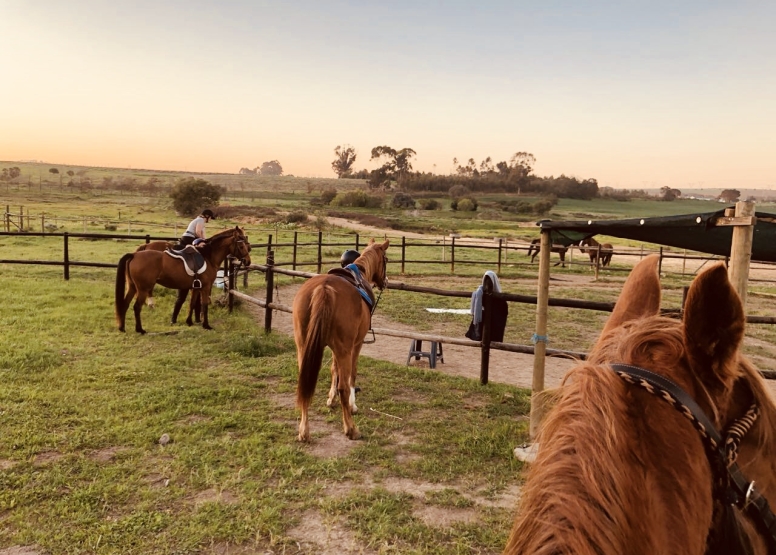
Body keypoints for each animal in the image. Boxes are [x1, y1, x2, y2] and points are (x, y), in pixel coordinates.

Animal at [114, 227, 252, 334]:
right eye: (241, 245)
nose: (248, 261)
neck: (207, 256)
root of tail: (134, 255)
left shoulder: (195, 287)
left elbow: (192, 303)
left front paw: (189, 322)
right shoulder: (205, 287)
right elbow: (204, 304)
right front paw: (206, 325)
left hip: (132, 287)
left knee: (125, 304)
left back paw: (122, 328)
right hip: (143, 289)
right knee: (137, 307)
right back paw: (140, 329)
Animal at [292, 239, 388, 444]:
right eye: (386, 259)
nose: (385, 281)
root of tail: (324, 288)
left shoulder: (335, 348)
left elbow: (333, 370)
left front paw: (331, 399)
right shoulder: (355, 345)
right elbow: (351, 374)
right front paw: (352, 405)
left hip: (303, 346)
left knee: (304, 385)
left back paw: (304, 431)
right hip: (344, 348)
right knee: (343, 386)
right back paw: (351, 429)